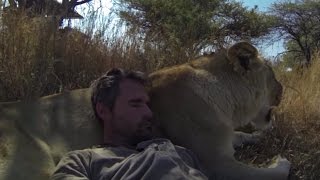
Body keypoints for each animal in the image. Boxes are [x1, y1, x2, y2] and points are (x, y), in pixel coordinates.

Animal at [0, 41, 290, 179]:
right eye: (273, 75)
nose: (284, 88)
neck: (227, 102)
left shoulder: (225, 138)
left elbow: (241, 136)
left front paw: (259, 135)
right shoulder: (216, 164)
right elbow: (269, 175)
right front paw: (282, 160)